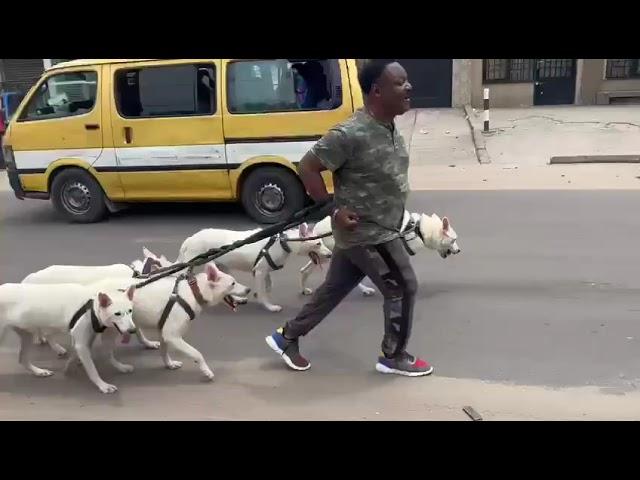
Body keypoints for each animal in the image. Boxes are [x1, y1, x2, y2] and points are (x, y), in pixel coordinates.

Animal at [0, 284, 136, 392]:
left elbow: (107, 355)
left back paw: (38, 371)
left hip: (27, 335)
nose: (133, 330)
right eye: (117, 314)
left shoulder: (84, 341)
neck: (92, 307)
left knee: (22, 359)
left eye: (130, 311)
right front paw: (102, 385)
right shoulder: (81, 344)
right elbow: (92, 369)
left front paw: (120, 367)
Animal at [179, 223, 332, 314]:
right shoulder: (259, 272)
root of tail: (190, 239)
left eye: (322, 242)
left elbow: (268, 286)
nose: (330, 254)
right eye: (318, 243)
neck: (283, 243)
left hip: (222, 267)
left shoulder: (265, 272)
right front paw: (269, 306)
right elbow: (264, 291)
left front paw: (260, 296)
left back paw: (238, 298)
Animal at [300, 211, 460, 296]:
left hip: (324, 255)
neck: (418, 229)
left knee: (304, 270)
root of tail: (318, 228)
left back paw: (304, 289)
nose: (459, 251)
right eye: (453, 240)